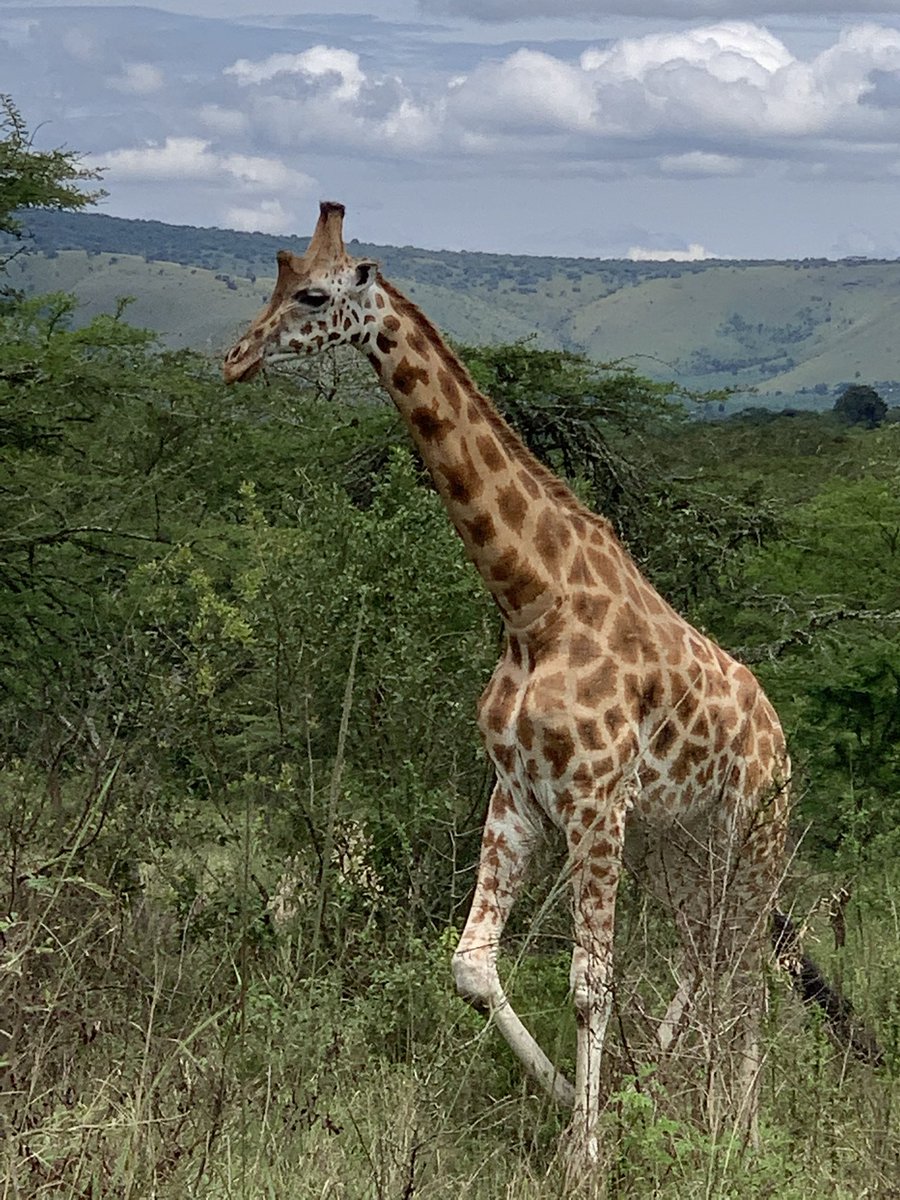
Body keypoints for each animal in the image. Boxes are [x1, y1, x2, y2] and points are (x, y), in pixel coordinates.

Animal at [224, 204, 787, 1171]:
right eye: (276, 273)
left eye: (314, 295)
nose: (236, 358)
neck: (532, 604)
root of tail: (783, 735)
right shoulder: (518, 794)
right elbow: (472, 966)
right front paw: (581, 1109)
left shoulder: (594, 802)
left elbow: (591, 984)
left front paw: (585, 1154)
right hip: (674, 842)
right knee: (705, 952)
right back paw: (668, 1092)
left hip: (754, 833)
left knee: (748, 962)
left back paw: (740, 1126)